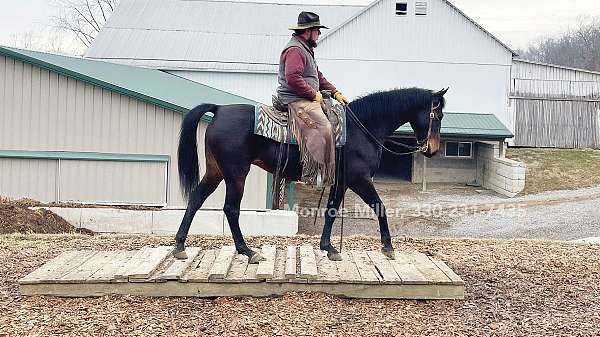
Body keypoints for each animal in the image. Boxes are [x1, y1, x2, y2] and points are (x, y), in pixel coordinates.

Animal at [172, 86, 446, 262]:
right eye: (438, 115)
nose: (432, 149)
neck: (362, 128)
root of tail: (219, 109)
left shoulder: (341, 182)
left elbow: (331, 211)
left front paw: (328, 247)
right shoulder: (359, 179)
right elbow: (380, 206)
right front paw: (388, 247)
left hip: (216, 171)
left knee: (196, 199)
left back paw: (180, 246)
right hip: (236, 174)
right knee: (231, 209)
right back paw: (247, 251)